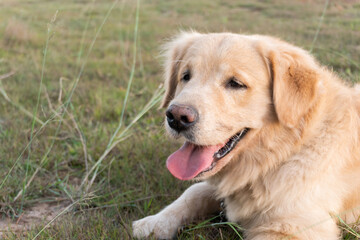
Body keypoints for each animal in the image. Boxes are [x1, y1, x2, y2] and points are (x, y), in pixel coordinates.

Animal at [131, 32, 360, 240]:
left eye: (235, 83)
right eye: (186, 76)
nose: (177, 117)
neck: (280, 155)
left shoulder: (295, 227)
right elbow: (194, 192)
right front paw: (155, 223)